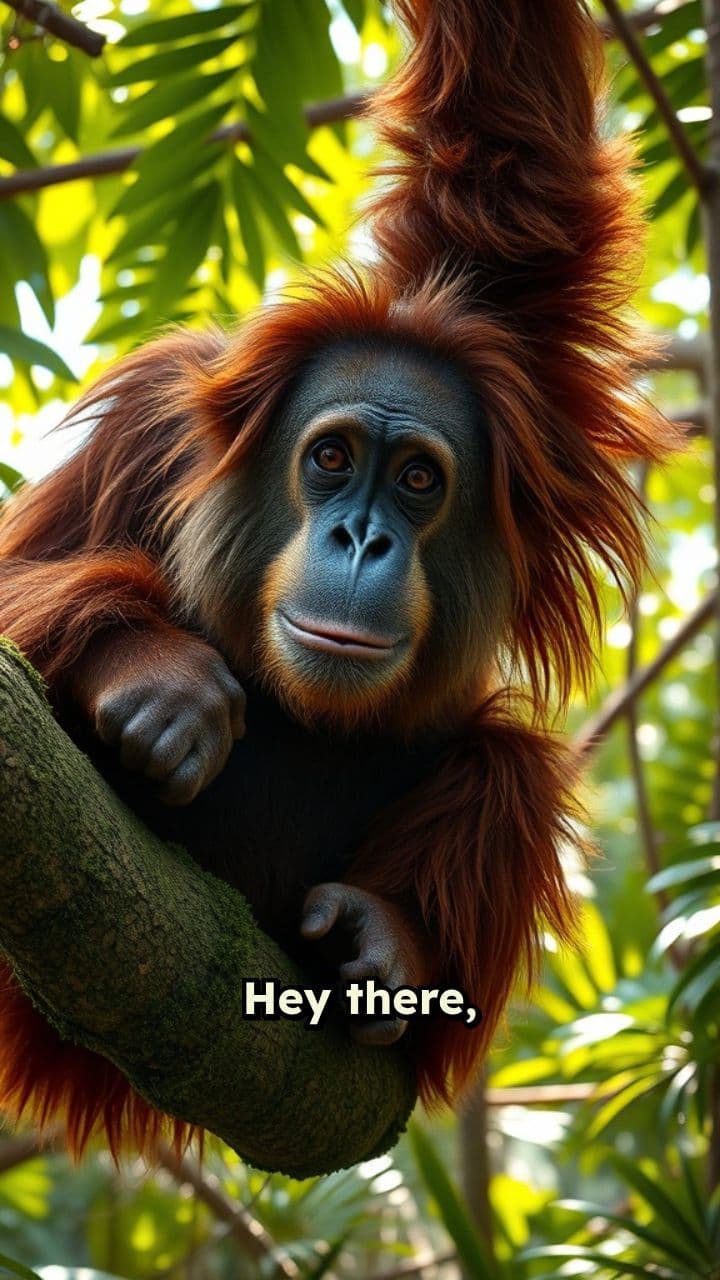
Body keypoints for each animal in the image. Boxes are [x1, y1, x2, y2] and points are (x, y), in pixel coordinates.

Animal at [0, 0, 678, 1159]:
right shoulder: (149, 422)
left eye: (417, 479)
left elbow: (516, 158)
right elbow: (19, 579)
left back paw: (386, 938)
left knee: (509, 756)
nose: (362, 537)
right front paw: (156, 681)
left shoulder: (517, 354)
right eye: (329, 458)